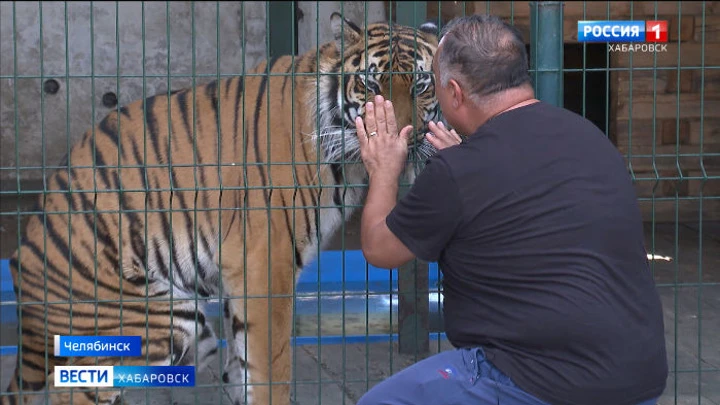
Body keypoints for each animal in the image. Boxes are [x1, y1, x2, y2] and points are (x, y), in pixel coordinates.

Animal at [1, 11, 438, 404]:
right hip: (148, 320)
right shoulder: (267, 262)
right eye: (371, 84)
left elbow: (245, 366)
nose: (402, 136)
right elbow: (270, 368)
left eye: (421, 85)